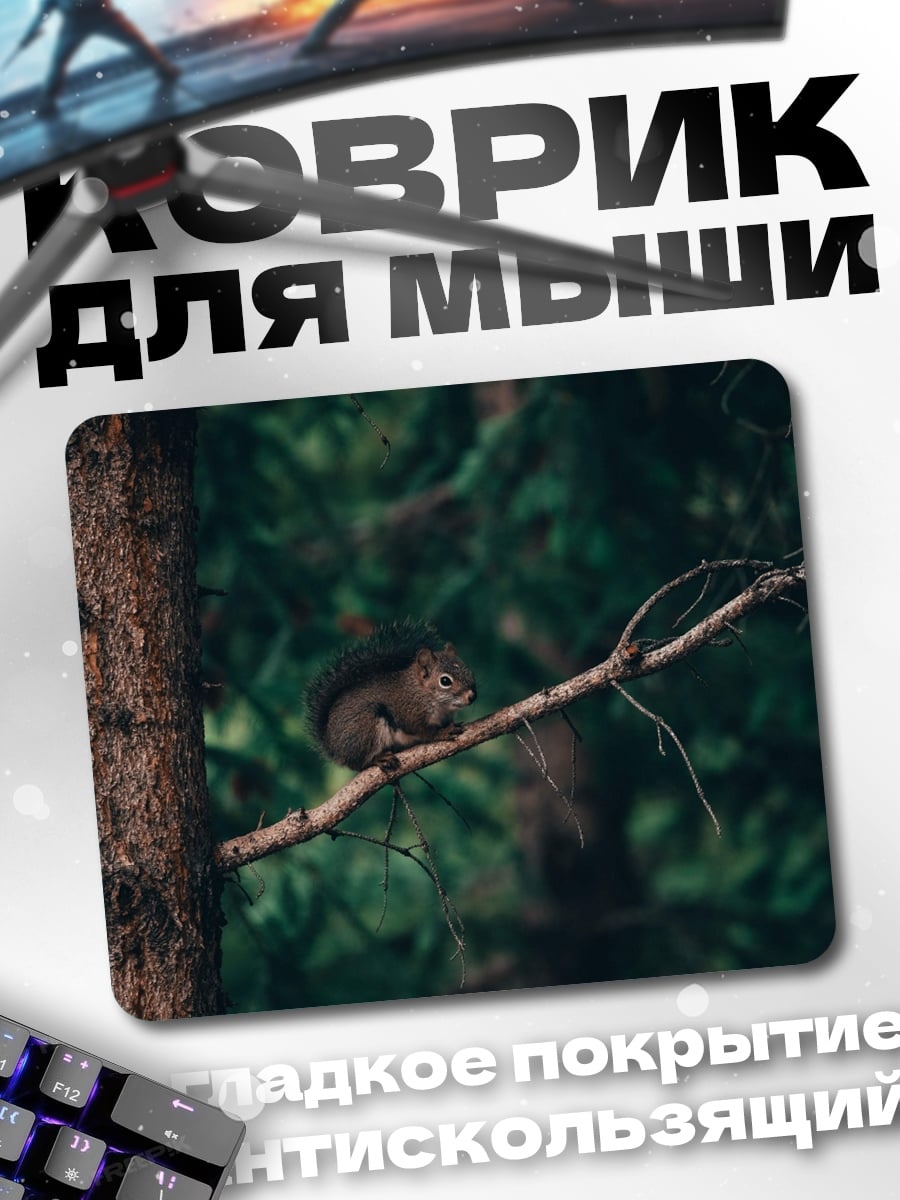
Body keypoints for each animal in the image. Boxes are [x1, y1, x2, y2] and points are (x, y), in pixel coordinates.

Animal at [305, 619, 477, 770]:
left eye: (468, 670)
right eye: (445, 681)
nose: (472, 696)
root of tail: (333, 747)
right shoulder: (410, 712)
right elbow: (424, 731)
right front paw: (442, 732)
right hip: (365, 727)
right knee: (358, 764)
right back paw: (378, 759)